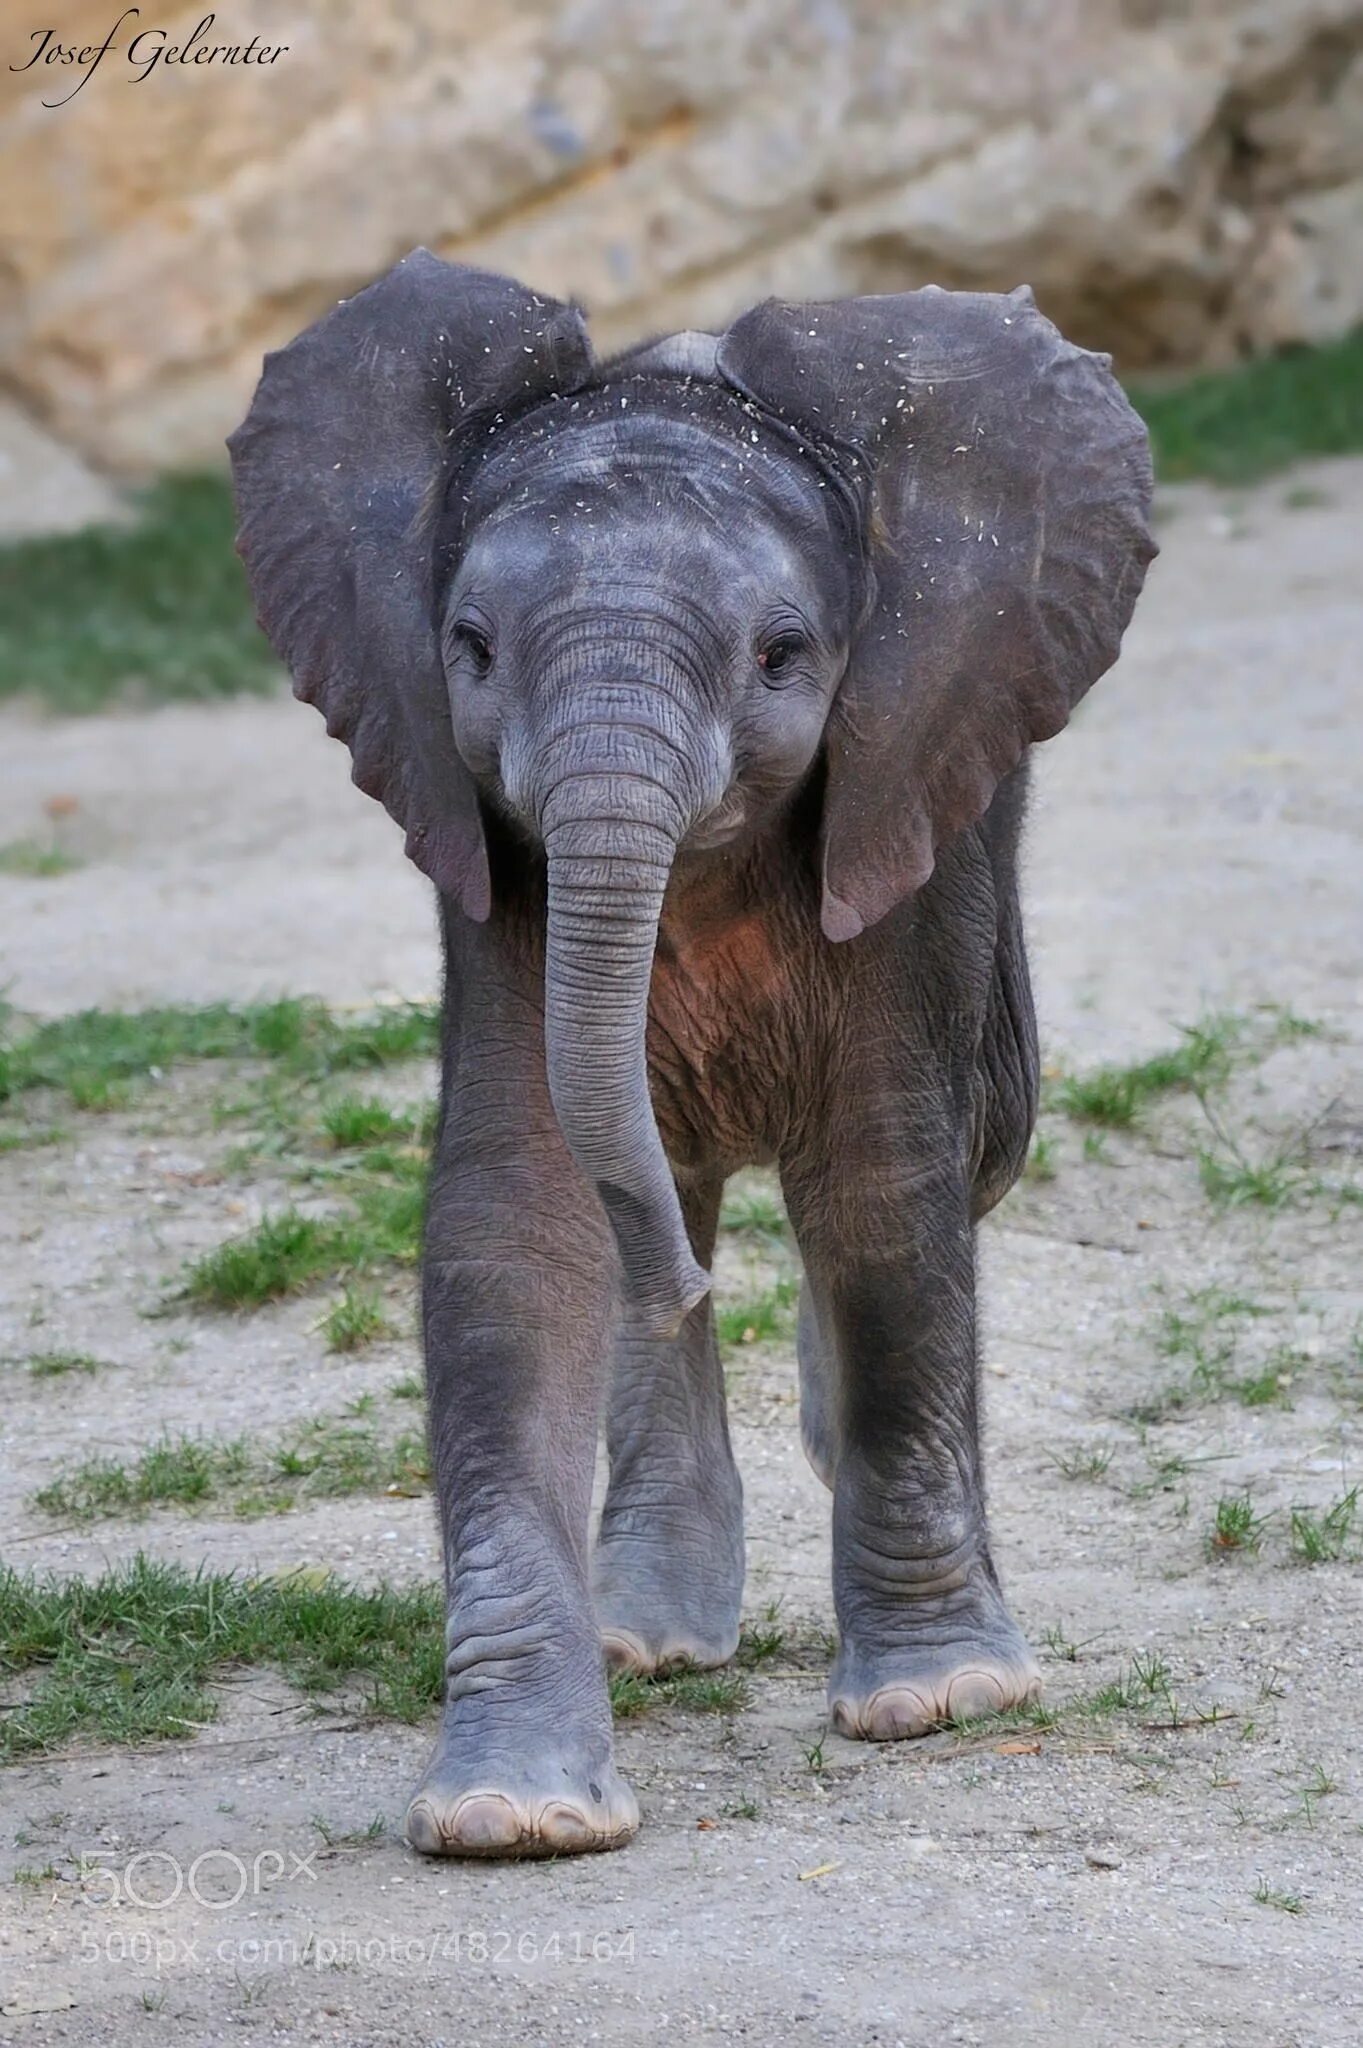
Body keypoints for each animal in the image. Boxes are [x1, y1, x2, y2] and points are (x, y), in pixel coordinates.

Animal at [228, 251, 1154, 1859]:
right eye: (468, 651)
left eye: (782, 656)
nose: (679, 1282)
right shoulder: (487, 847)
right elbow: (516, 1222)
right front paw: (510, 1815)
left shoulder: (906, 781)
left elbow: (879, 1187)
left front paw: (938, 1701)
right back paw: (647, 1631)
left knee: (964, 1148)